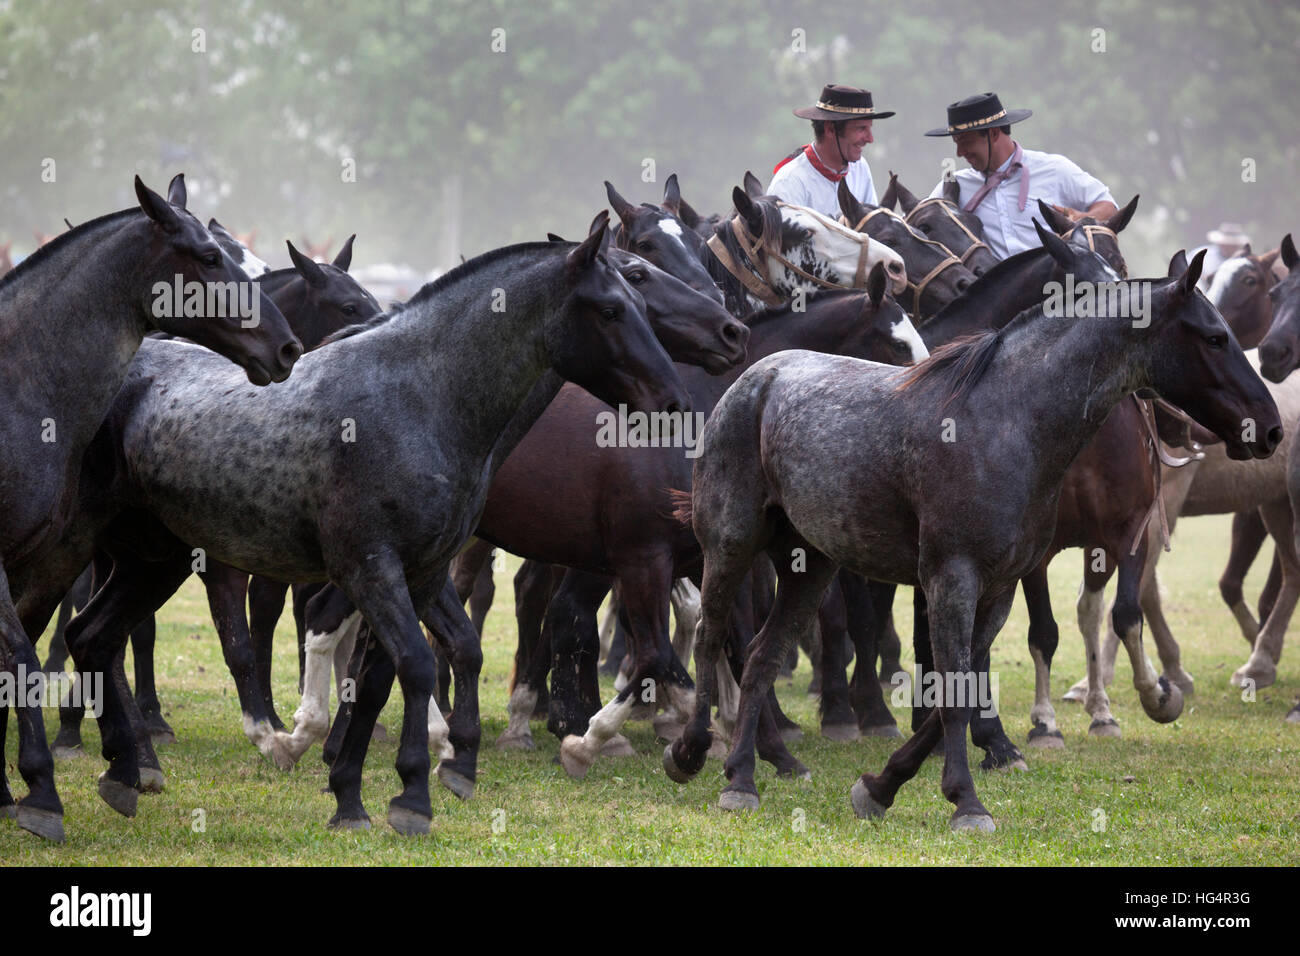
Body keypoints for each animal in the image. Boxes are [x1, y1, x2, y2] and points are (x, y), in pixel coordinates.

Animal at [670, 223, 1279, 832]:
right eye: (1214, 338)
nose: (1269, 429)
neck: (1006, 421)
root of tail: (753, 378)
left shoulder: (1001, 586)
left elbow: (950, 693)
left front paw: (881, 787)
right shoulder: (952, 579)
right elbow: (956, 690)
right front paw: (965, 799)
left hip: (808, 566)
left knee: (762, 657)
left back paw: (743, 776)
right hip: (729, 547)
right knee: (711, 636)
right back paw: (692, 751)